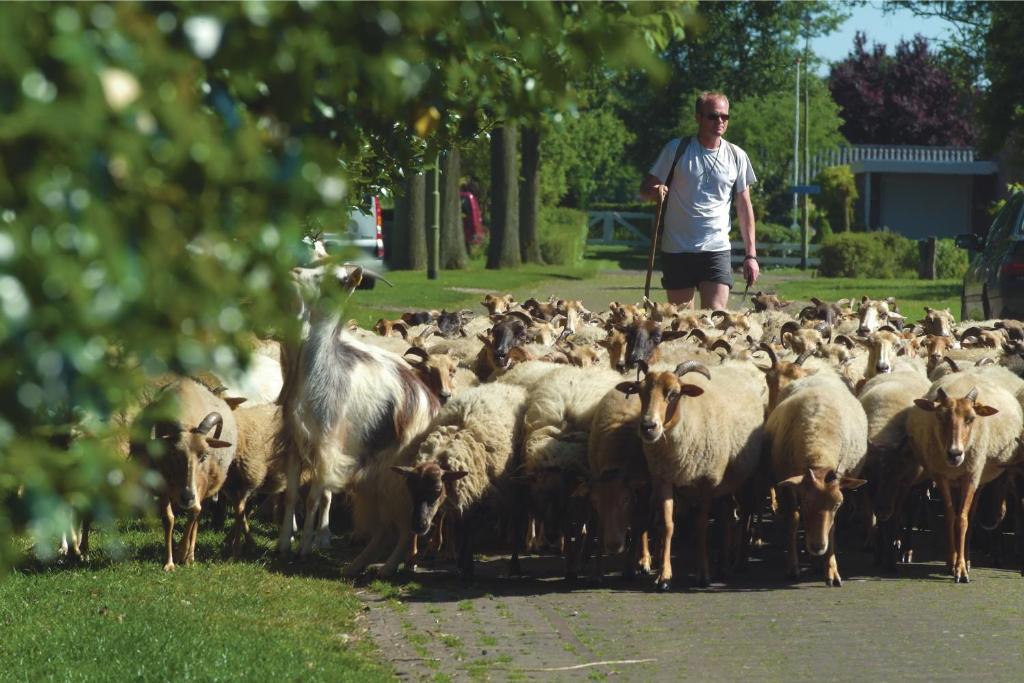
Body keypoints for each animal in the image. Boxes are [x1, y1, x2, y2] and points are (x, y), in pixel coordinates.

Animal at [610, 360, 765, 589]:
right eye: (640, 392)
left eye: (674, 393)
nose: (648, 427)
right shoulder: (664, 479)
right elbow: (667, 525)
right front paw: (664, 576)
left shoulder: (707, 482)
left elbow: (701, 526)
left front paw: (703, 574)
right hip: (725, 485)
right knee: (726, 517)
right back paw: (723, 566)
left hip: (747, 477)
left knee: (745, 512)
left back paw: (740, 561)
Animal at [765, 368, 868, 589]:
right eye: (805, 503)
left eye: (838, 505)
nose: (818, 546)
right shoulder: (787, 484)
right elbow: (793, 520)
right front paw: (792, 566)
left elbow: (832, 528)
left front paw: (831, 570)